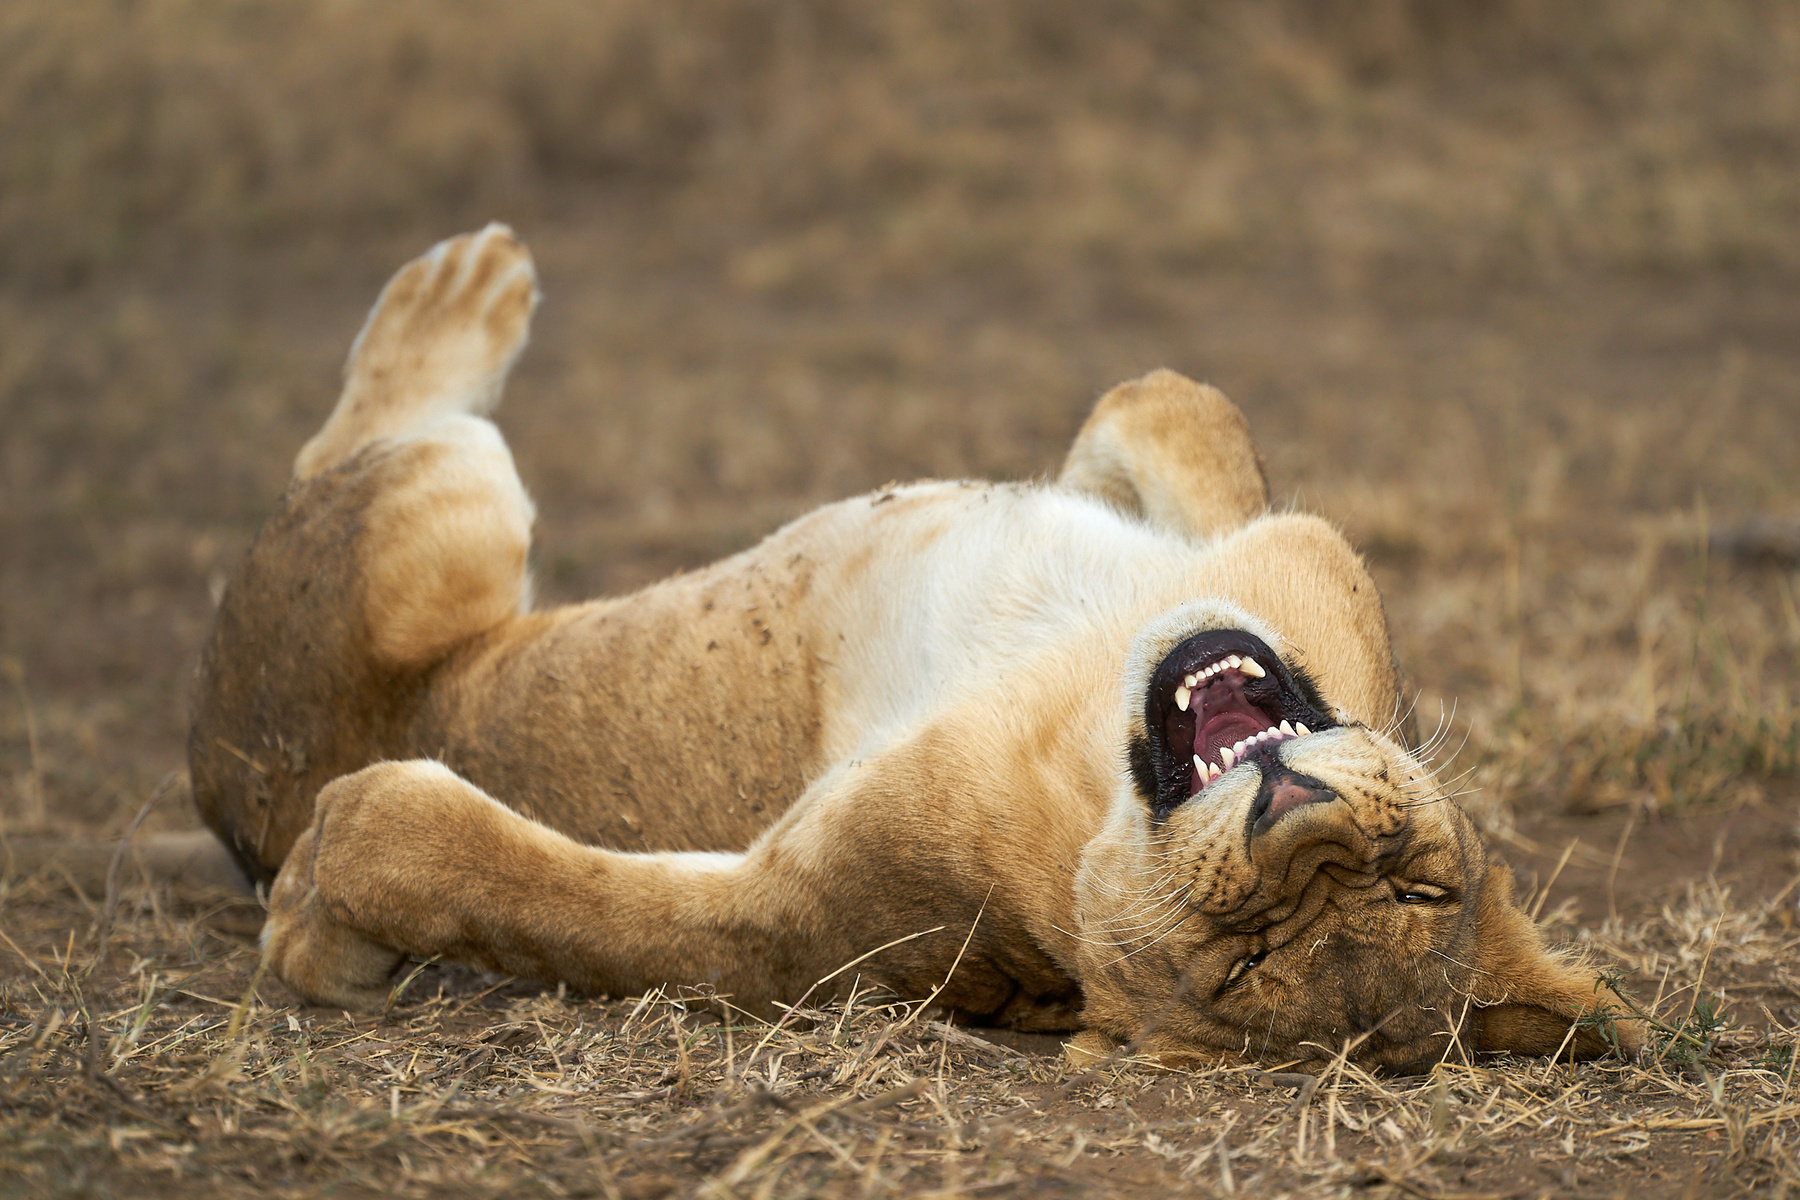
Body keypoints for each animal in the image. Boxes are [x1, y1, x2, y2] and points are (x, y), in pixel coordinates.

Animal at [189, 224, 1641, 1072]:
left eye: (1243, 962)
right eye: (1422, 887)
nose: (1305, 827)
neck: (1087, 729)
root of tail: (220, 790)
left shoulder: (802, 923)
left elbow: (538, 895)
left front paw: (321, 910)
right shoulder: (1262, 549)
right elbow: (1178, 402)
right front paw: (1093, 459)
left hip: (437, 520)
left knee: (372, 448)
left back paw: (458, 293)